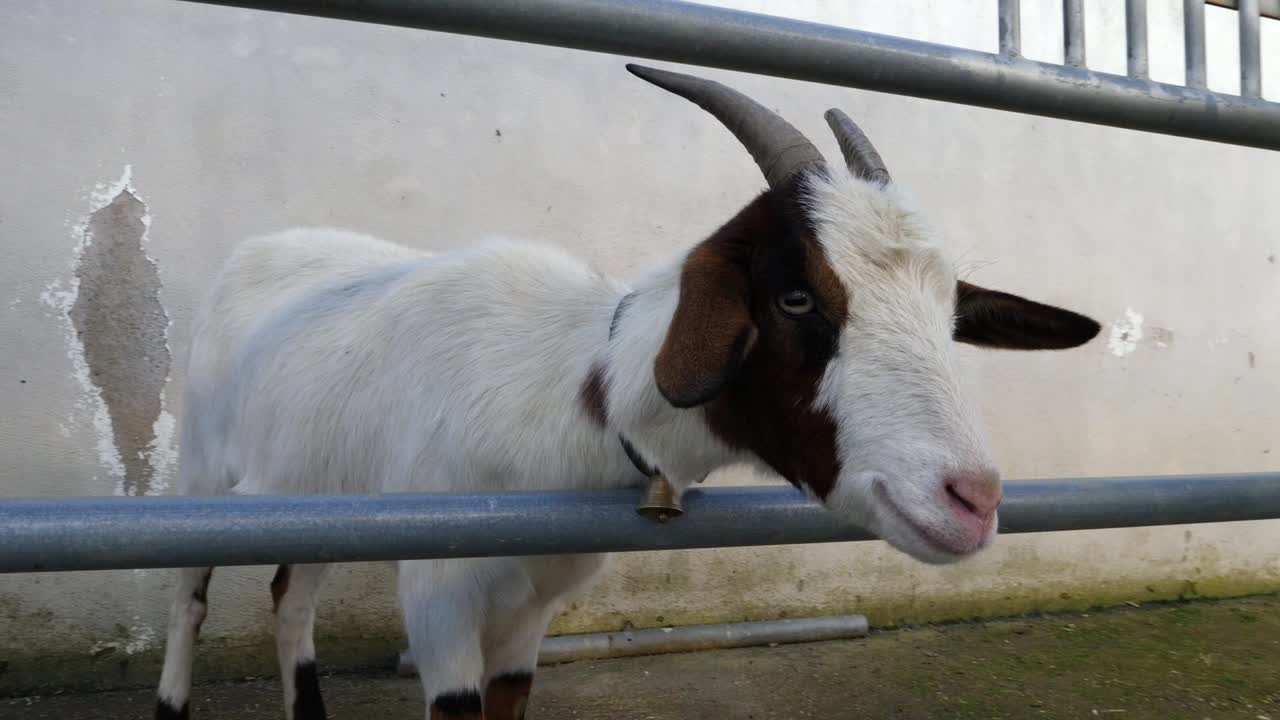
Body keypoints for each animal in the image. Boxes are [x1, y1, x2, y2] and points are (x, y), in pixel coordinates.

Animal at [155, 63, 1100, 720]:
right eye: (795, 297)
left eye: (949, 310)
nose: (971, 500)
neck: (577, 396)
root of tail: (261, 249)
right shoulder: (439, 597)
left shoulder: (530, 611)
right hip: (205, 479)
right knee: (190, 596)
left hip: (317, 495)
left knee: (290, 597)